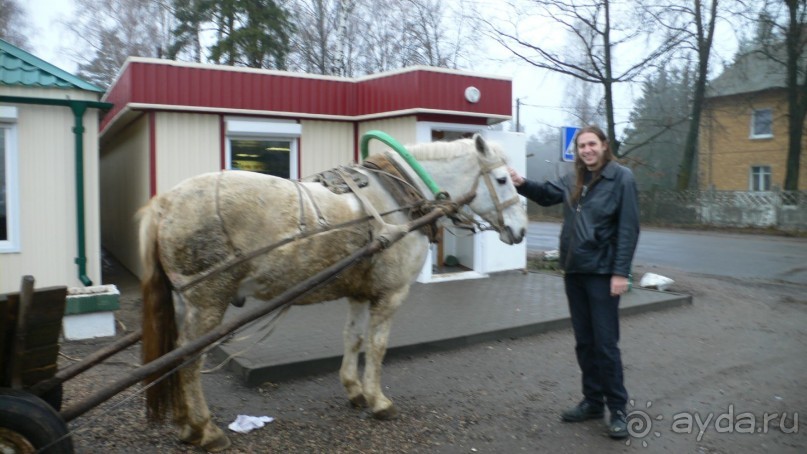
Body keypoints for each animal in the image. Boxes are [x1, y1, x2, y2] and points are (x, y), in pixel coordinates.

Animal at [139, 132, 528, 450]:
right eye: (502, 179)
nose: (521, 230)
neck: (399, 198)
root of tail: (164, 203)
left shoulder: (358, 292)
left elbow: (353, 338)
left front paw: (355, 390)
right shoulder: (391, 294)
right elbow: (377, 346)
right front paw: (378, 400)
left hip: (186, 302)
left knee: (176, 356)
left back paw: (186, 425)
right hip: (207, 301)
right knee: (190, 360)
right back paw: (205, 430)